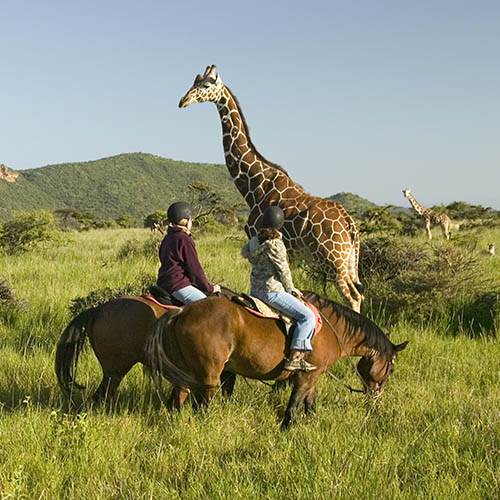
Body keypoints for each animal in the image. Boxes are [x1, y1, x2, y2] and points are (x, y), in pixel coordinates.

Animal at [144, 292, 406, 430]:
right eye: (391, 368)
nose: (375, 396)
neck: (332, 328)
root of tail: (181, 312)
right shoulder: (306, 376)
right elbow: (294, 404)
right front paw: (286, 428)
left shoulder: (312, 376)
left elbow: (310, 403)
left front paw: (312, 422)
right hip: (208, 375)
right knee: (201, 405)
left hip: (185, 375)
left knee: (177, 399)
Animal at [180, 64, 364, 310]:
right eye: (194, 81)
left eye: (205, 85)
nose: (182, 101)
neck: (254, 184)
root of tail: (350, 225)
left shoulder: (256, 238)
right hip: (348, 262)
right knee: (359, 294)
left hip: (333, 261)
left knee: (352, 297)